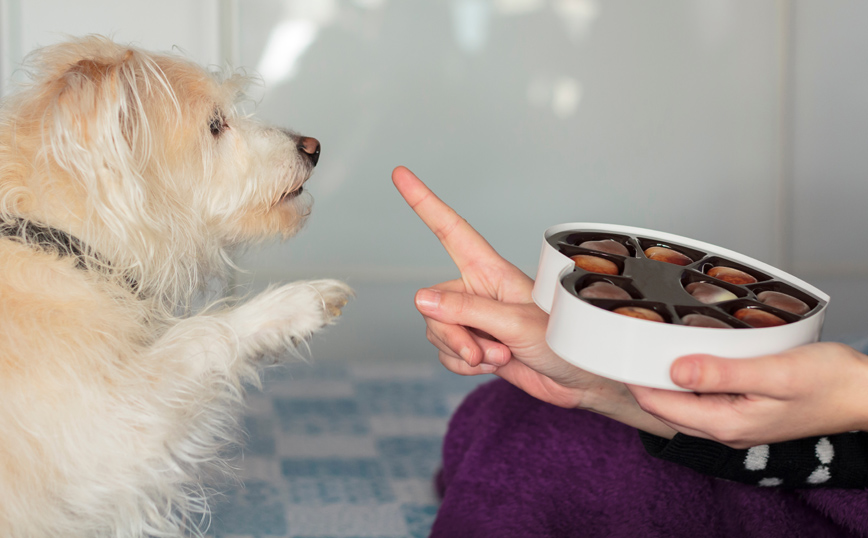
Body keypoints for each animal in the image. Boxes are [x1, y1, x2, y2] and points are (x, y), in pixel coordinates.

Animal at [0, 35, 352, 532]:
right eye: (215, 125)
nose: (313, 146)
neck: (61, 242)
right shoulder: (107, 431)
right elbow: (199, 335)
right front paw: (294, 305)